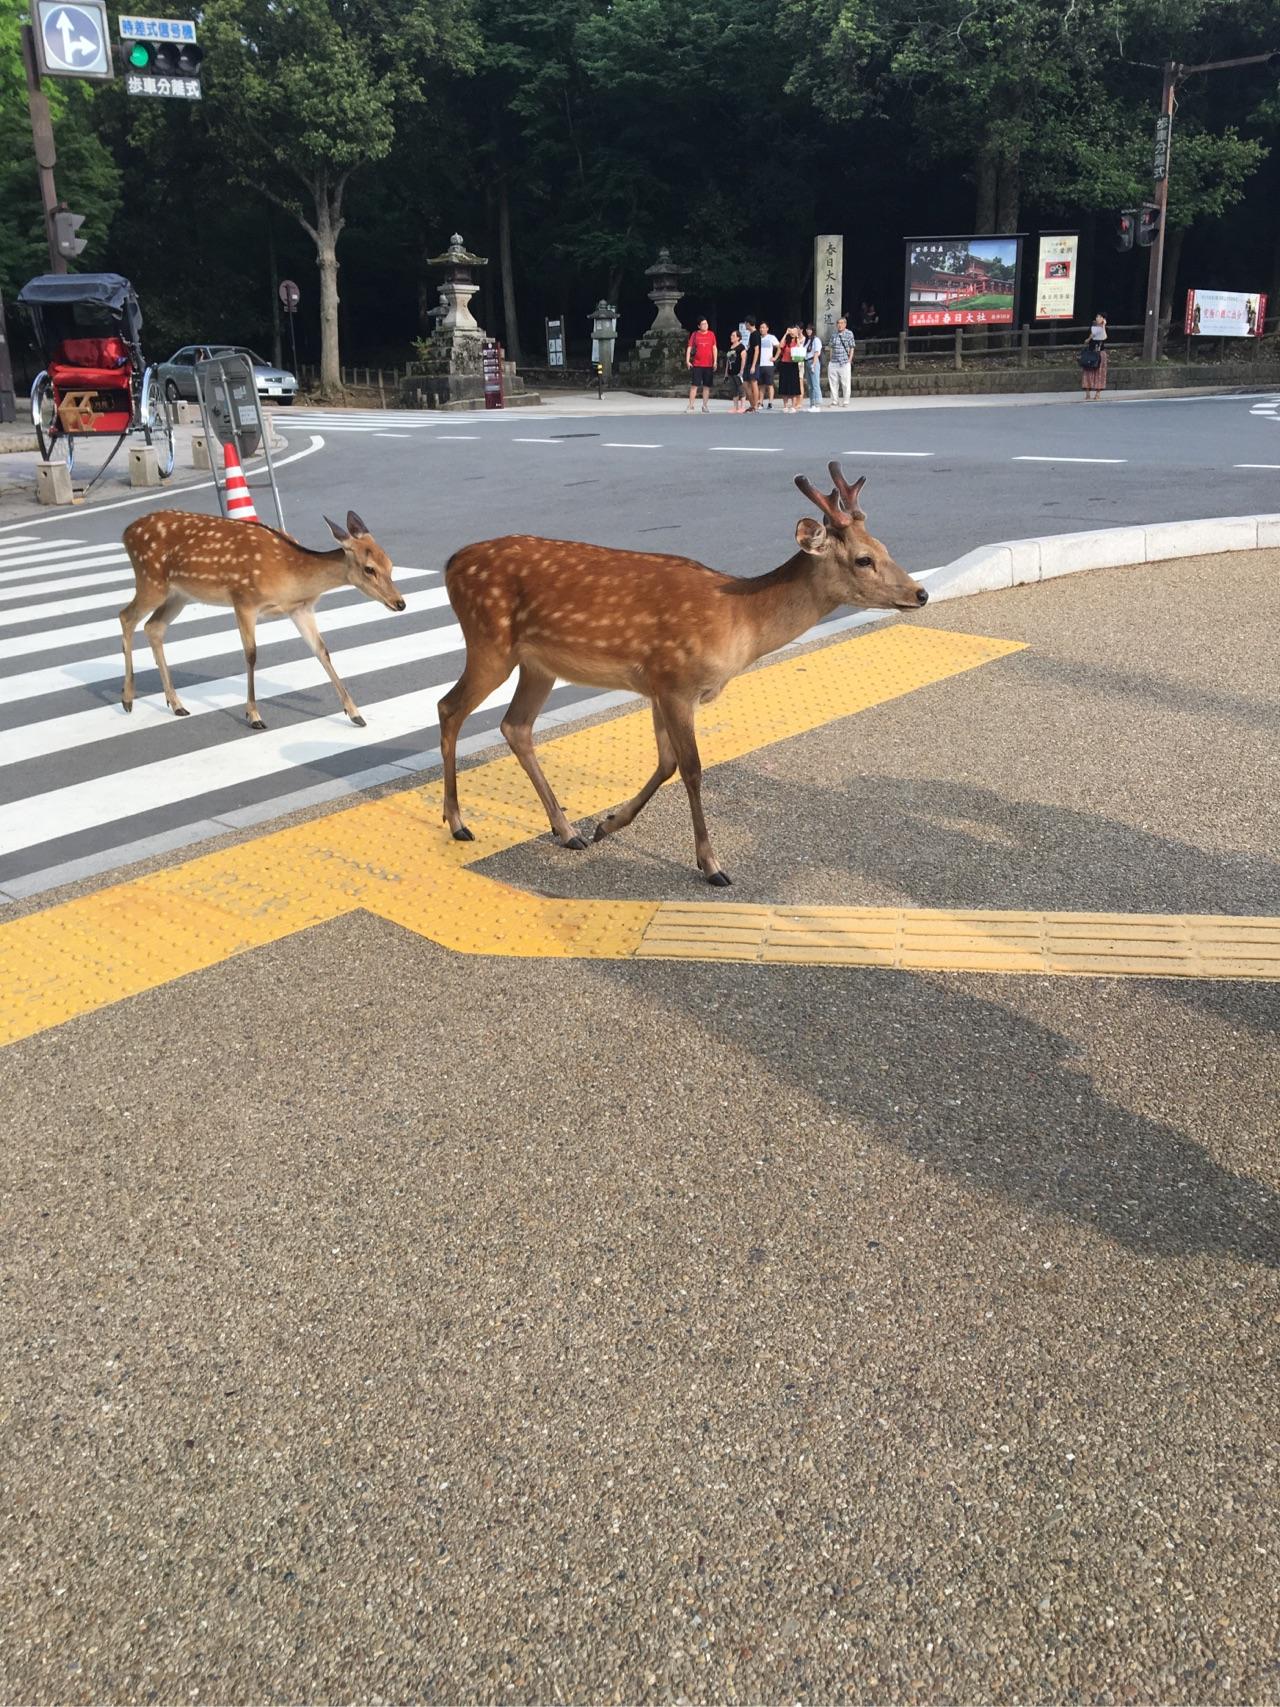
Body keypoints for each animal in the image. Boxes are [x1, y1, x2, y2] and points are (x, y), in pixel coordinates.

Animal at [119, 501, 406, 723]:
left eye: (390, 563)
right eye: (369, 569)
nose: (400, 603)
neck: (290, 575)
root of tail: (126, 532)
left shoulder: (300, 609)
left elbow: (322, 651)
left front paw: (355, 713)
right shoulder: (244, 600)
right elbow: (251, 654)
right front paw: (254, 715)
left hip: (179, 594)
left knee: (153, 627)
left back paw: (176, 704)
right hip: (151, 581)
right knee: (126, 617)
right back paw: (128, 699)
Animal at [440, 467, 921, 894]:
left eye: (884, 546)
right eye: (863, 559)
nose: (920, 593)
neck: (739, 623)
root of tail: (451, 562)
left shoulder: (657, 685)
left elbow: (666, 763)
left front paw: (606, 825)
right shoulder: (675, 682)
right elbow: (691, 768)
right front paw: (711, 865)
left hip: (538, 664)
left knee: (515, 725)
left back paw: (566, 829)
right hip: (490, 641)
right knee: (450, 707)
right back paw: (458, 822)